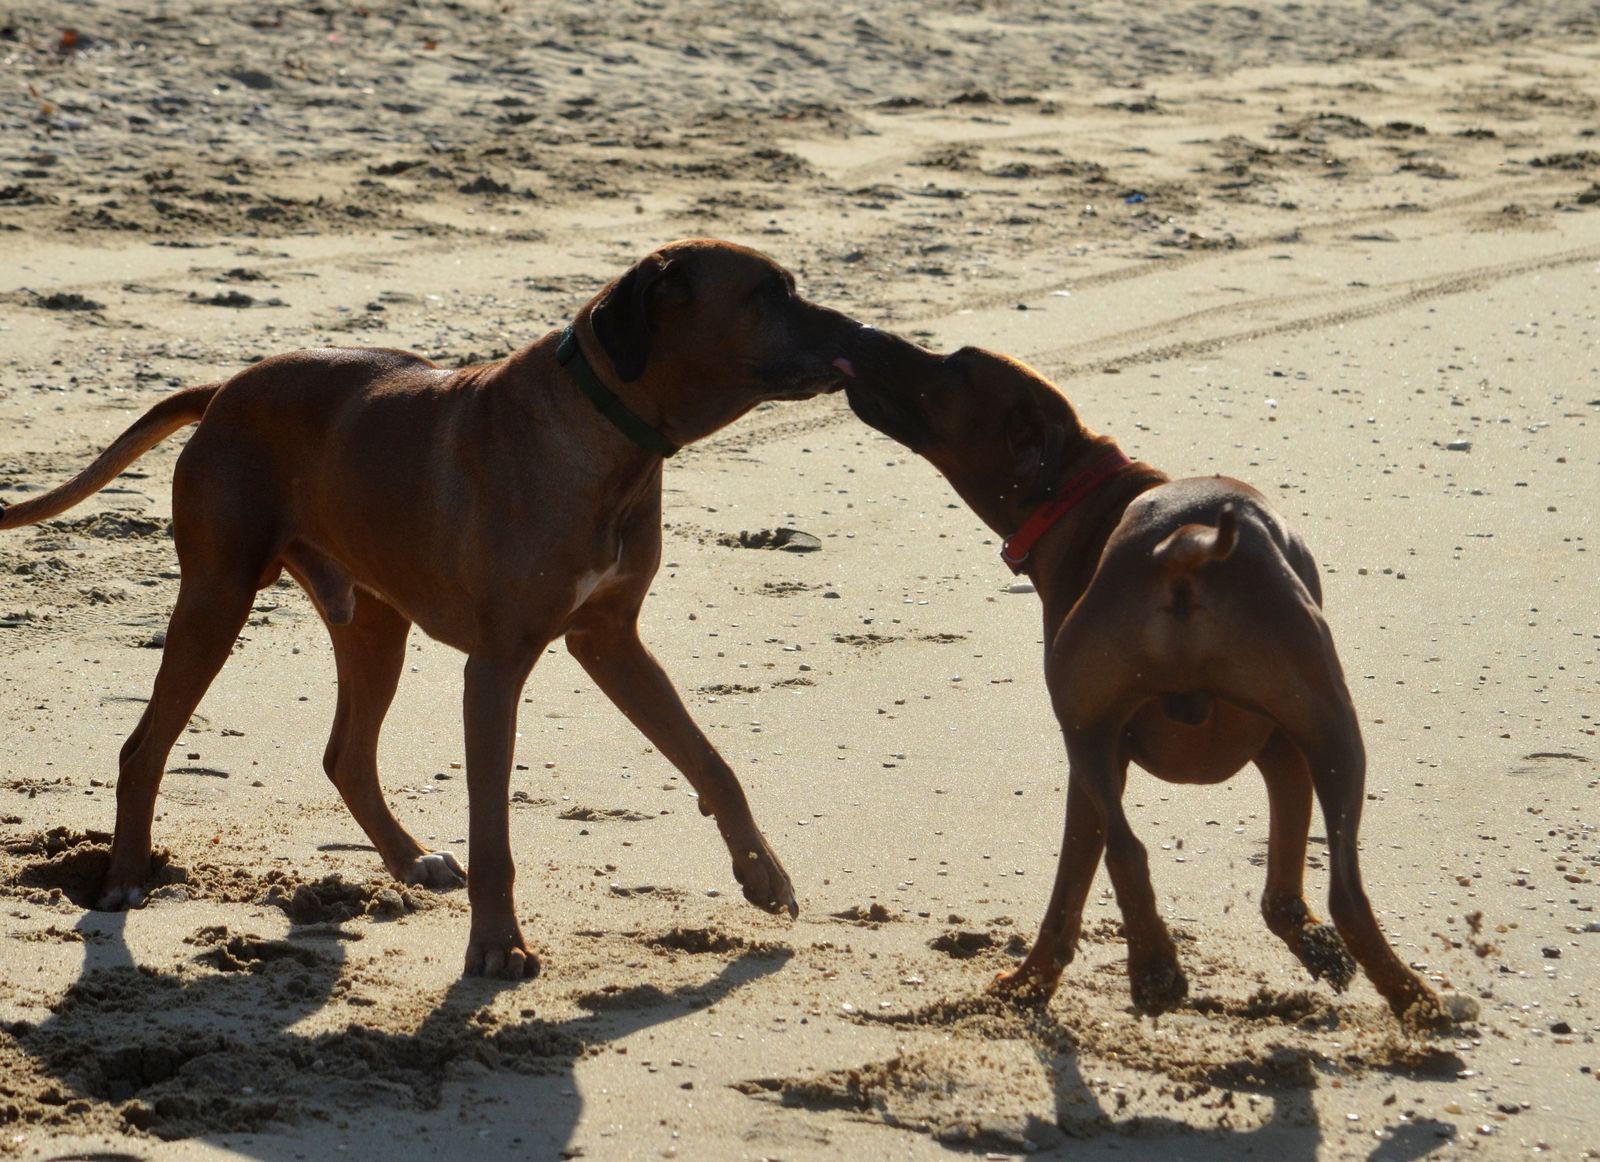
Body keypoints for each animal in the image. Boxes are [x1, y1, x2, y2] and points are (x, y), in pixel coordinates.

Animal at [0, 239, 862, 980]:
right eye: (768, 295)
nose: (861, 331)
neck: (607, 429)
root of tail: (227, 389)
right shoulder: (497, 668)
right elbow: (495, 836)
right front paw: (498, 947)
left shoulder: (612, 640)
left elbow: (712, 762)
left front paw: (763, 875)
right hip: (218, 593)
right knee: (143, 746)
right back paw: (123, 879)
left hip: (374, 621)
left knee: (346, 755)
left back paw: (408, 858)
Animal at [838, 333, 1447, 1026]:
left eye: (956, 367)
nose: (863, 335)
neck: (1078, 492)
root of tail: (1185, 546)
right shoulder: (1279, 749)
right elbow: (1279, 889)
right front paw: (1314, 945)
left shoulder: (1274, 749)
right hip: (1303, 729)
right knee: (1331, 887)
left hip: (1107, 734)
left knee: (1127, 849)